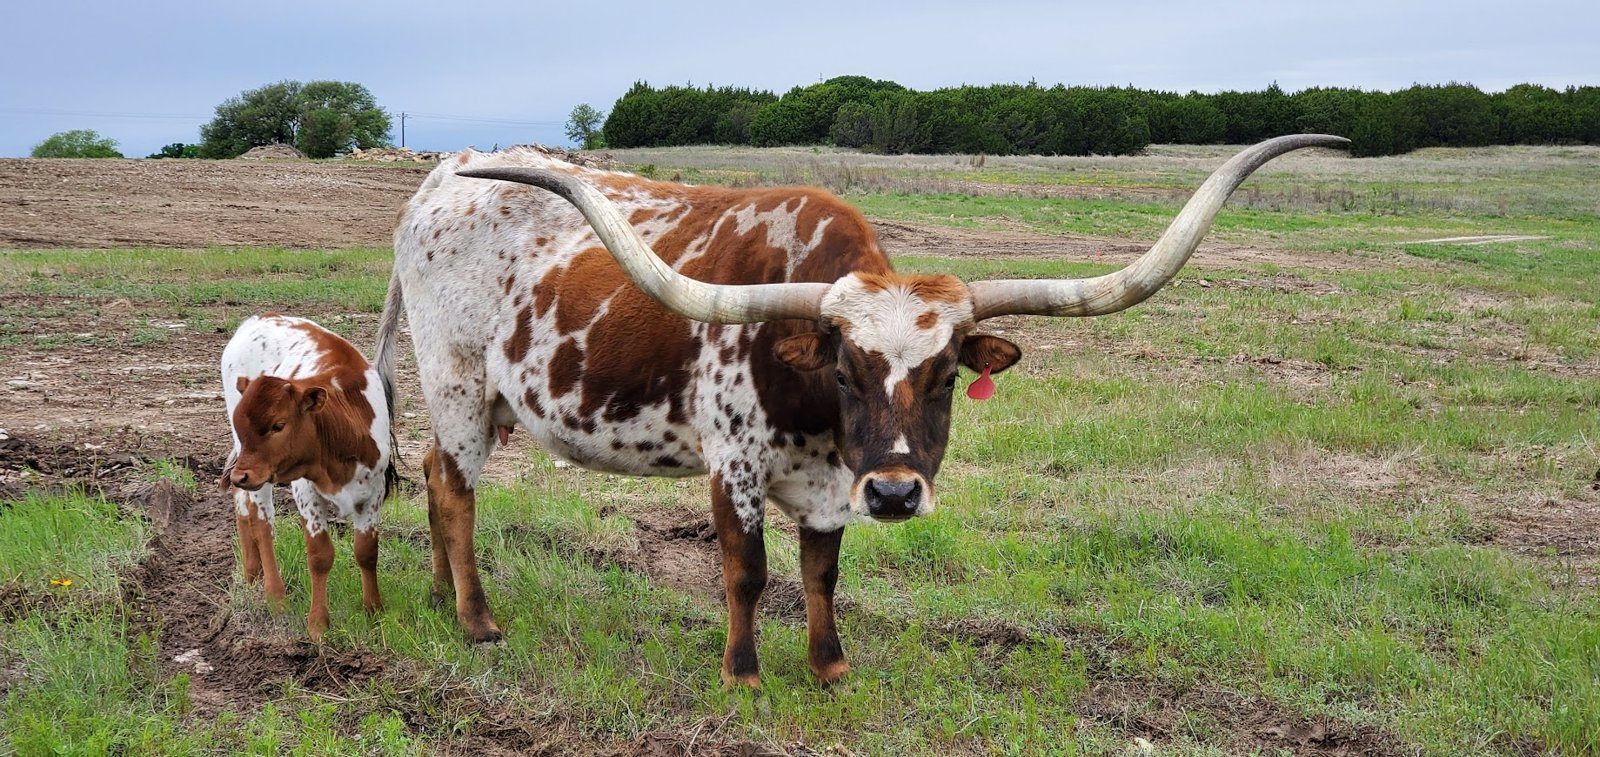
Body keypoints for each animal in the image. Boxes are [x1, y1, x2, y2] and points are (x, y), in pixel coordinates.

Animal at [221, 314, 397, 642]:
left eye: (279, 425)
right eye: (241, 424)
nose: (240, 474)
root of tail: (256, 319)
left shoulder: (375, 492)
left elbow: (366, 551)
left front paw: (373, 609)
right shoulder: (306, 492)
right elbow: (319, 556)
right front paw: (318, 624)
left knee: (242, 502)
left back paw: (251, 572)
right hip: (257, 471)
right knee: (262, 523)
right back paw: (275, 595)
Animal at [375, 135, 1348, 685]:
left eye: (949, 375)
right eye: (846, 369)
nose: (896, 495)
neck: (817, 416)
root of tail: (437, 185)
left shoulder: (831, 479)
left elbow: (821, 573)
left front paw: (830, 665)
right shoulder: (734, 463)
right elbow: (747, 571)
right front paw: (744, 675)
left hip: (489, 400)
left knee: (428, 475)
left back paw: (433, 597)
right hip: (455, 380)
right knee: (455, 489)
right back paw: (477, 619)